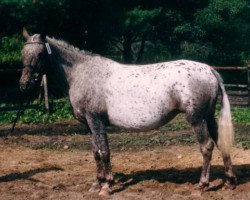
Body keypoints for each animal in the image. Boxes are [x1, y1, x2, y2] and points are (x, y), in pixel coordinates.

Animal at [19, 28, 236, 196]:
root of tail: (210, 70)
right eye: (23, 52)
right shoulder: (88, 124)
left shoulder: (96, 121)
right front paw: (96, 184)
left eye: (40, 54)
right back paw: (229, 181)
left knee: (206, 146)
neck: (82, 73)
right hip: (208, 117)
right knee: (220, 142)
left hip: (196, 119)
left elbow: (105, 151)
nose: (24, 84)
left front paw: (107, 186)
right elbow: (95, 152)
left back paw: (201, 186)